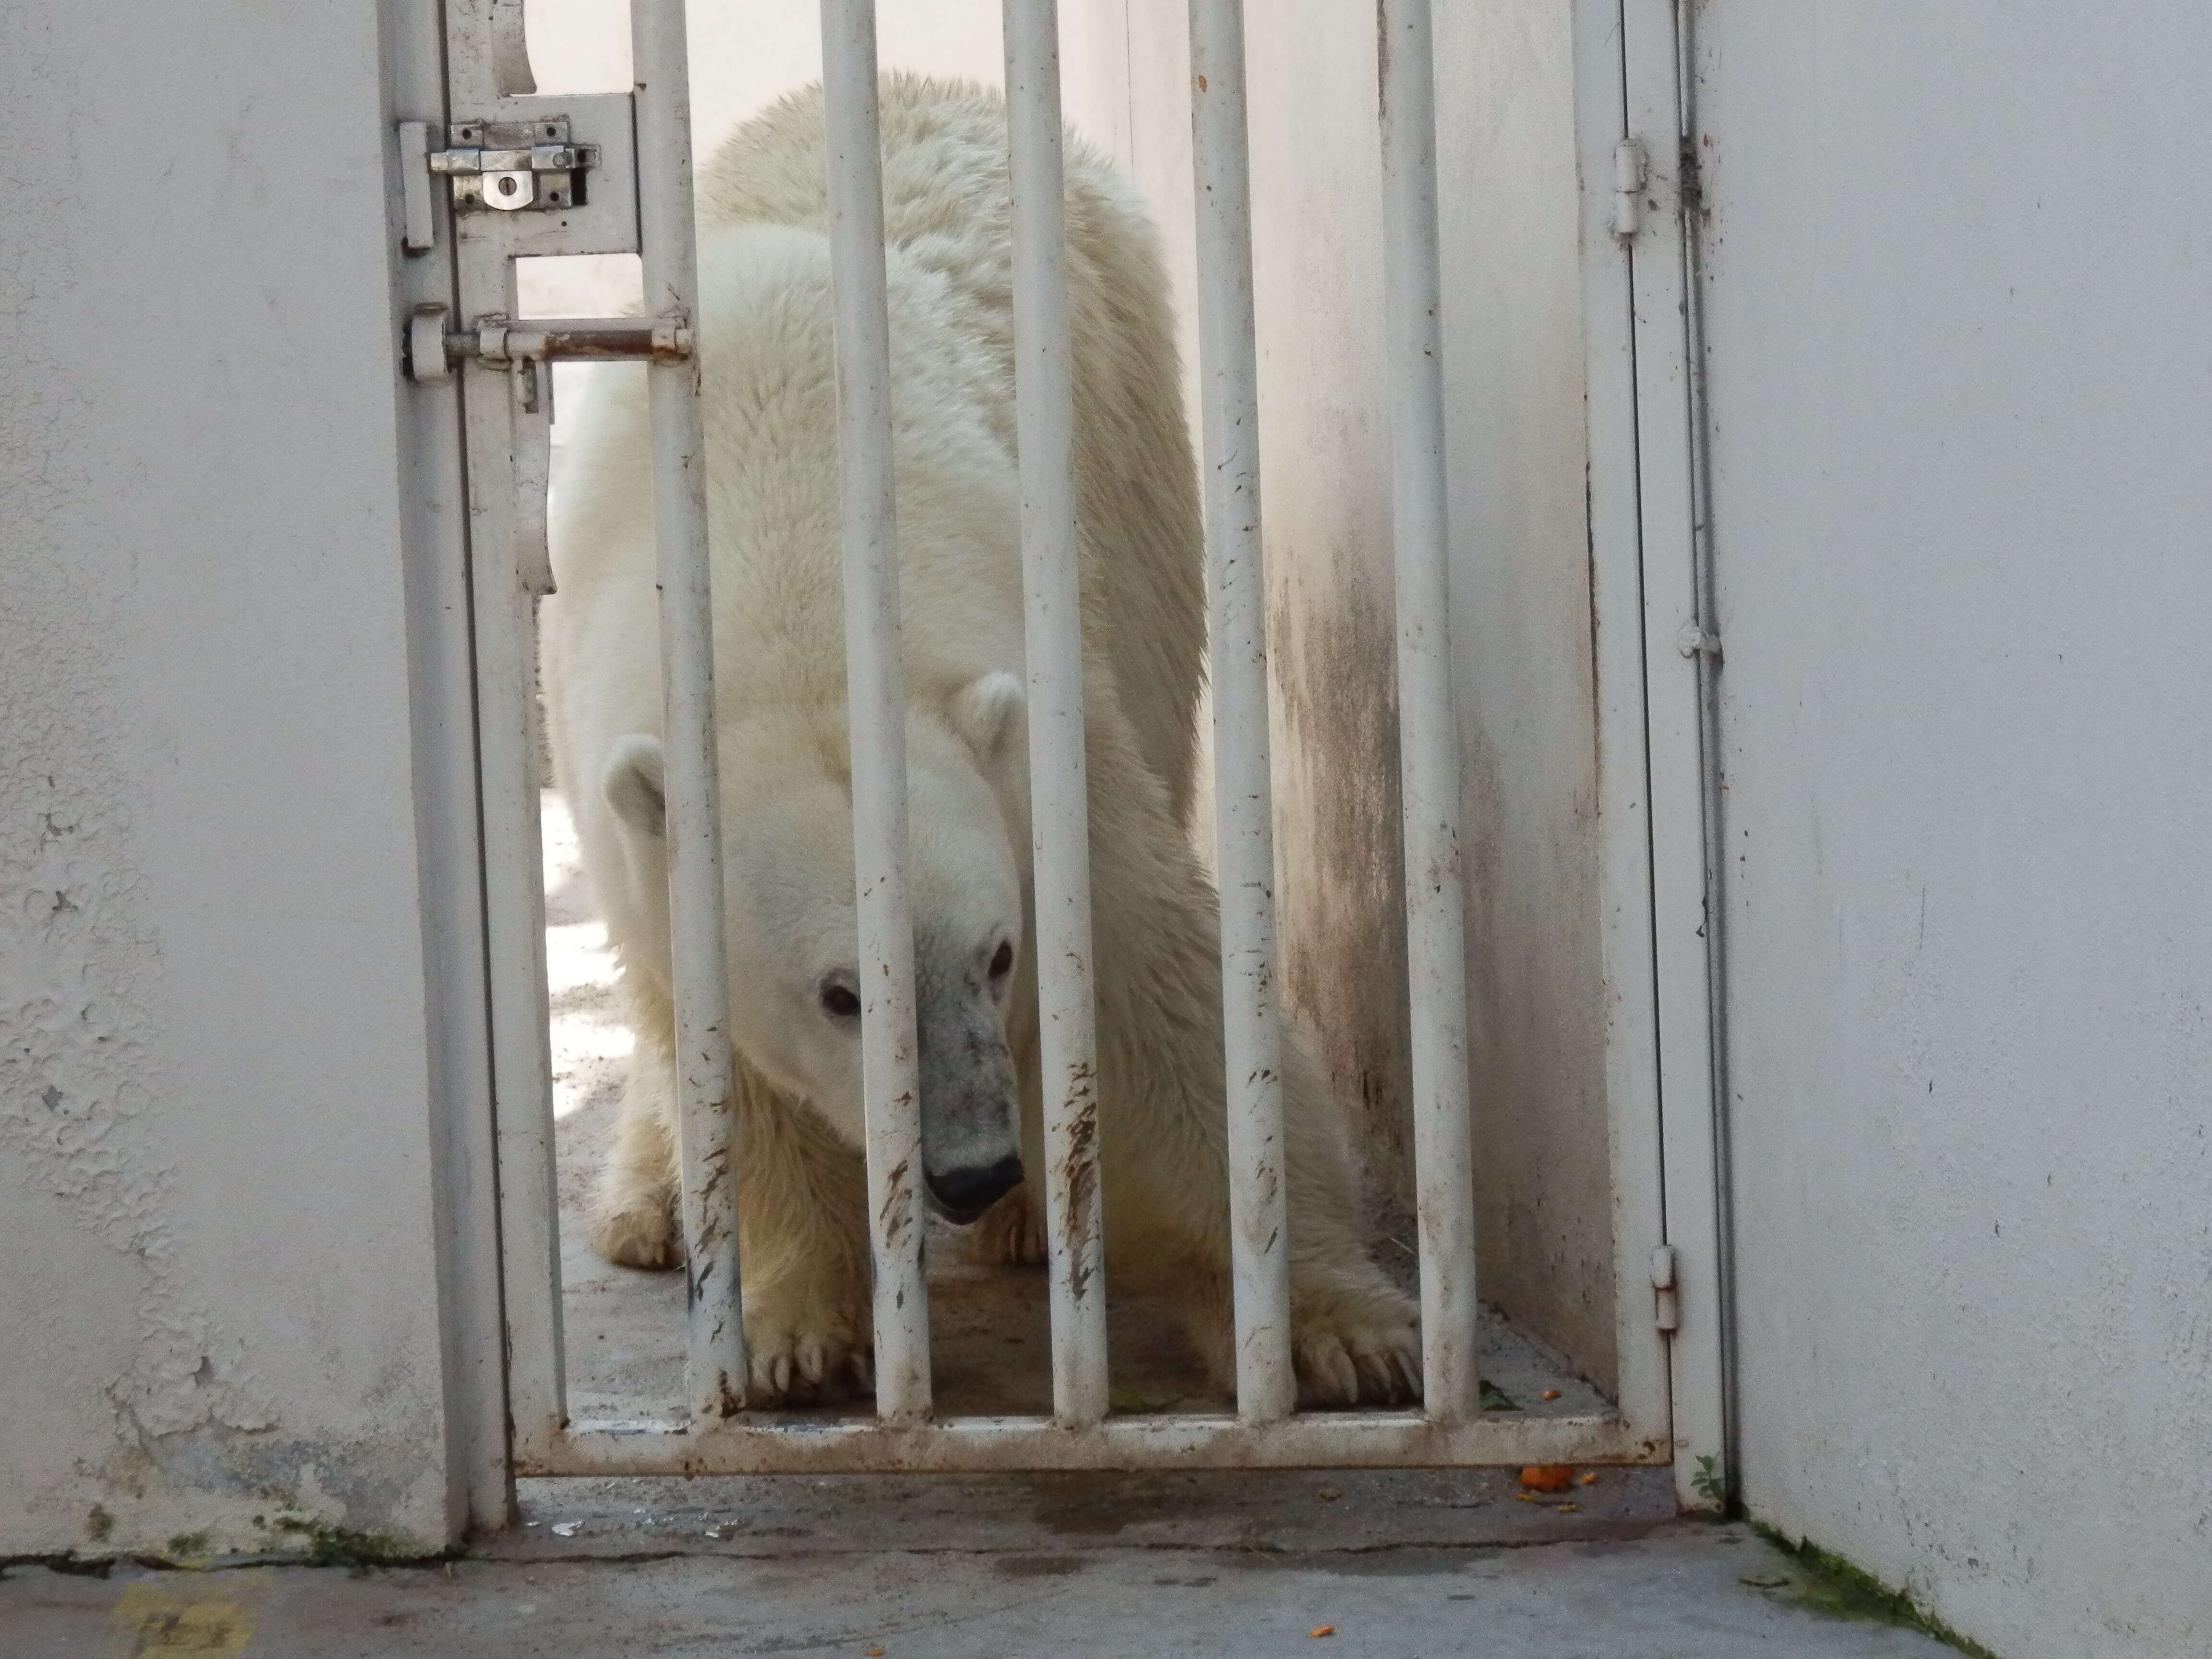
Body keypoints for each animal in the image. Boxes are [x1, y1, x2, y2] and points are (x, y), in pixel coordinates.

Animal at [544, 74, 1424, 1407]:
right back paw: (647, 1205)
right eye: (844, 991)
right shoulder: (636, 810)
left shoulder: (1049, 743)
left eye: (999, 954)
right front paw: (799, 1331)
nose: (970, 1170)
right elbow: (733, 1065)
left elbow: (1148, 989)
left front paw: (1343, 1328)